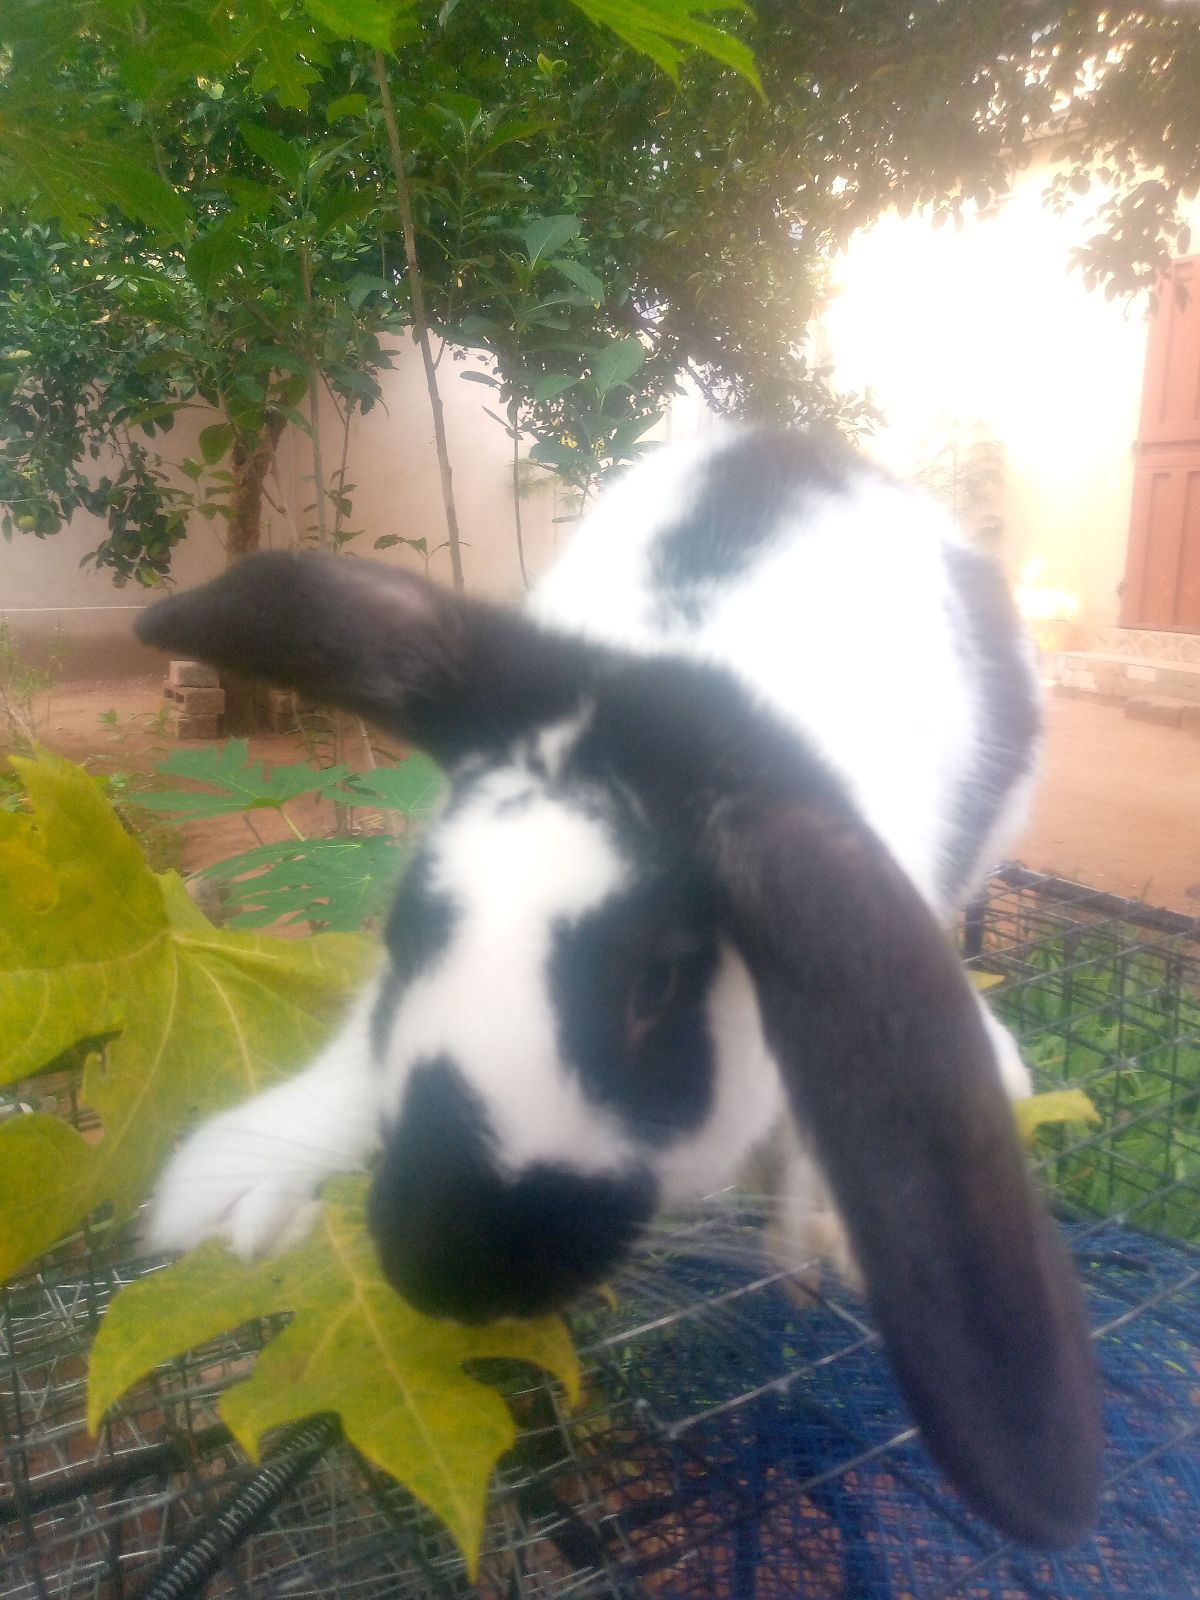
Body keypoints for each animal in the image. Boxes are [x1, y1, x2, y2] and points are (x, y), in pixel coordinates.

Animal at [138, 424, 1100, 1549]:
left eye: (656, 985)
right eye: (408, 931)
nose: (449, 1275)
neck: (688, 706)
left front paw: (810, 1235)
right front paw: (235, 1184)